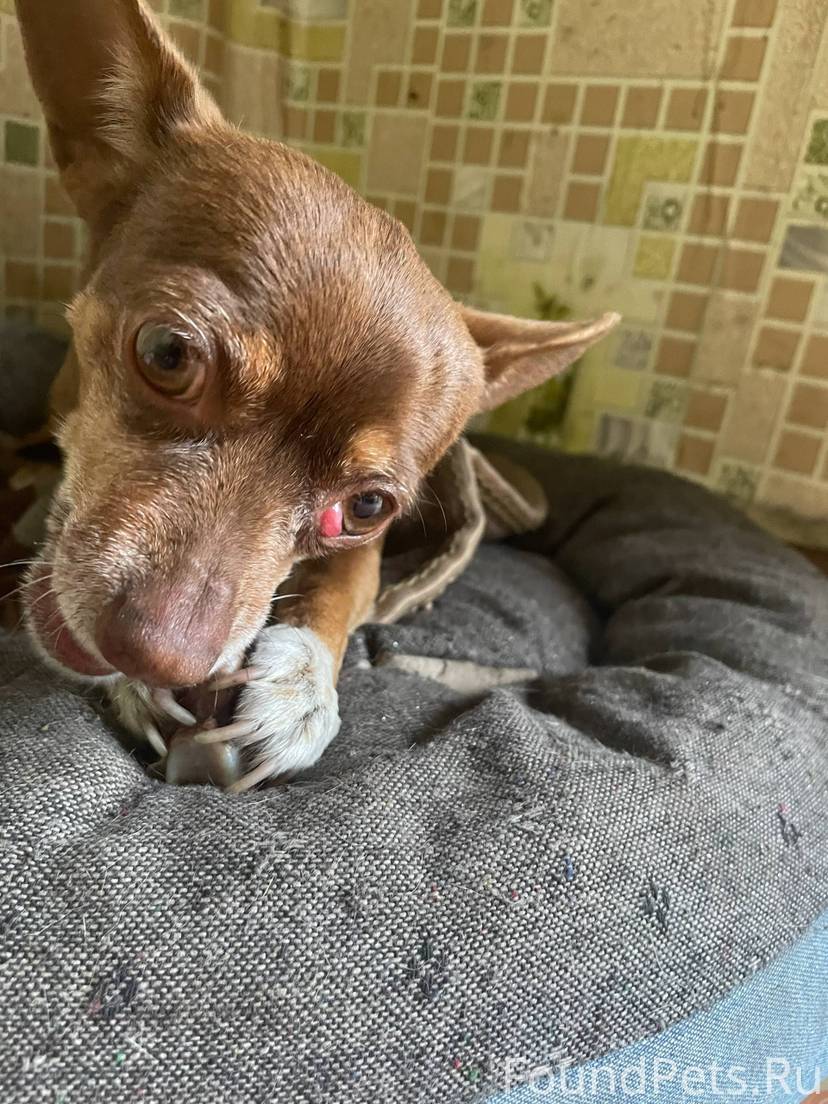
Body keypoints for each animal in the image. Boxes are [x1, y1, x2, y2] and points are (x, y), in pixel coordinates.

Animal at [17, 0, 618, 790]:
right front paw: (136, 687)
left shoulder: (369, 554)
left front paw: (298, 690)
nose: (155, 656)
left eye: (365, 508)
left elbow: (337, 592)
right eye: (167, 354)